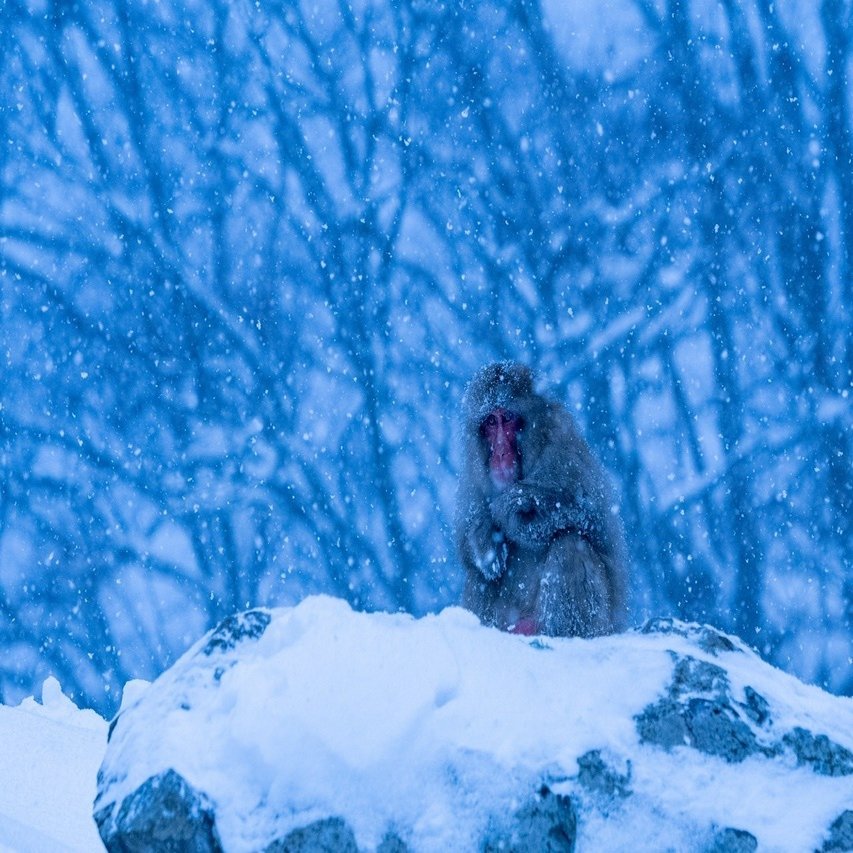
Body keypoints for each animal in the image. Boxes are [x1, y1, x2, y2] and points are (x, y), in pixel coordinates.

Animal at [455, 361, 628, 638]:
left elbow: (589, 514)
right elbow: (469, 548)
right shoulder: (473, 473)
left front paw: (510, 507)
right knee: (481, 576)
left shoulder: (565, 451)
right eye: (490, 422)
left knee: (570, 544)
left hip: (598, 624)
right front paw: (483, 538)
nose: (500, 452)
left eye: (508, 418)